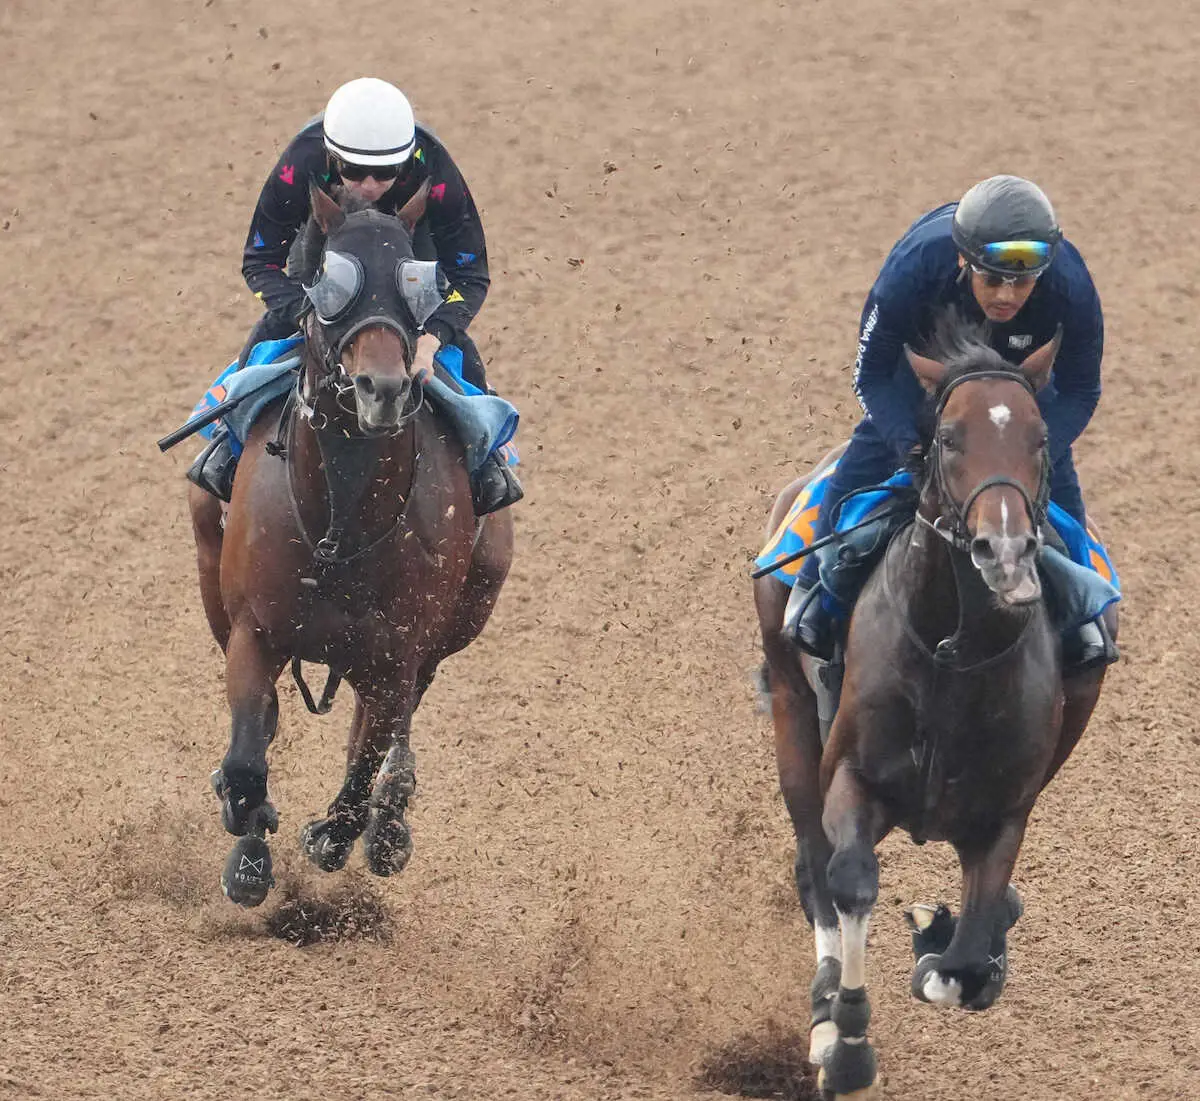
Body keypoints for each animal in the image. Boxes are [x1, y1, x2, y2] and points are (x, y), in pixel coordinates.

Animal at [187, 185, 511, 911]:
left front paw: (337, 835)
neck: (342, 522)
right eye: (330, 283)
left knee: (389, 727)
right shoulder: (253, 629)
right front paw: (249, 854)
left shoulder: (398, 652)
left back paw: (390, 820)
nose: (382, 388)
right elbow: (247, 759)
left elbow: (364, 763)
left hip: (460, 612)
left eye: (418, 282)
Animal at [758, 323, 1113, 1098]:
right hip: (791, 714)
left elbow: (968, 959)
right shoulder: (852, 776)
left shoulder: (1003, 813)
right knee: (815, 867)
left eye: (1041, 438)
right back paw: (824, 1011)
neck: (954, 655)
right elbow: (852, 880)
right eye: (949, 438)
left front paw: (943, 940)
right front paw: (848, 1043)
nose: (1004, 551)